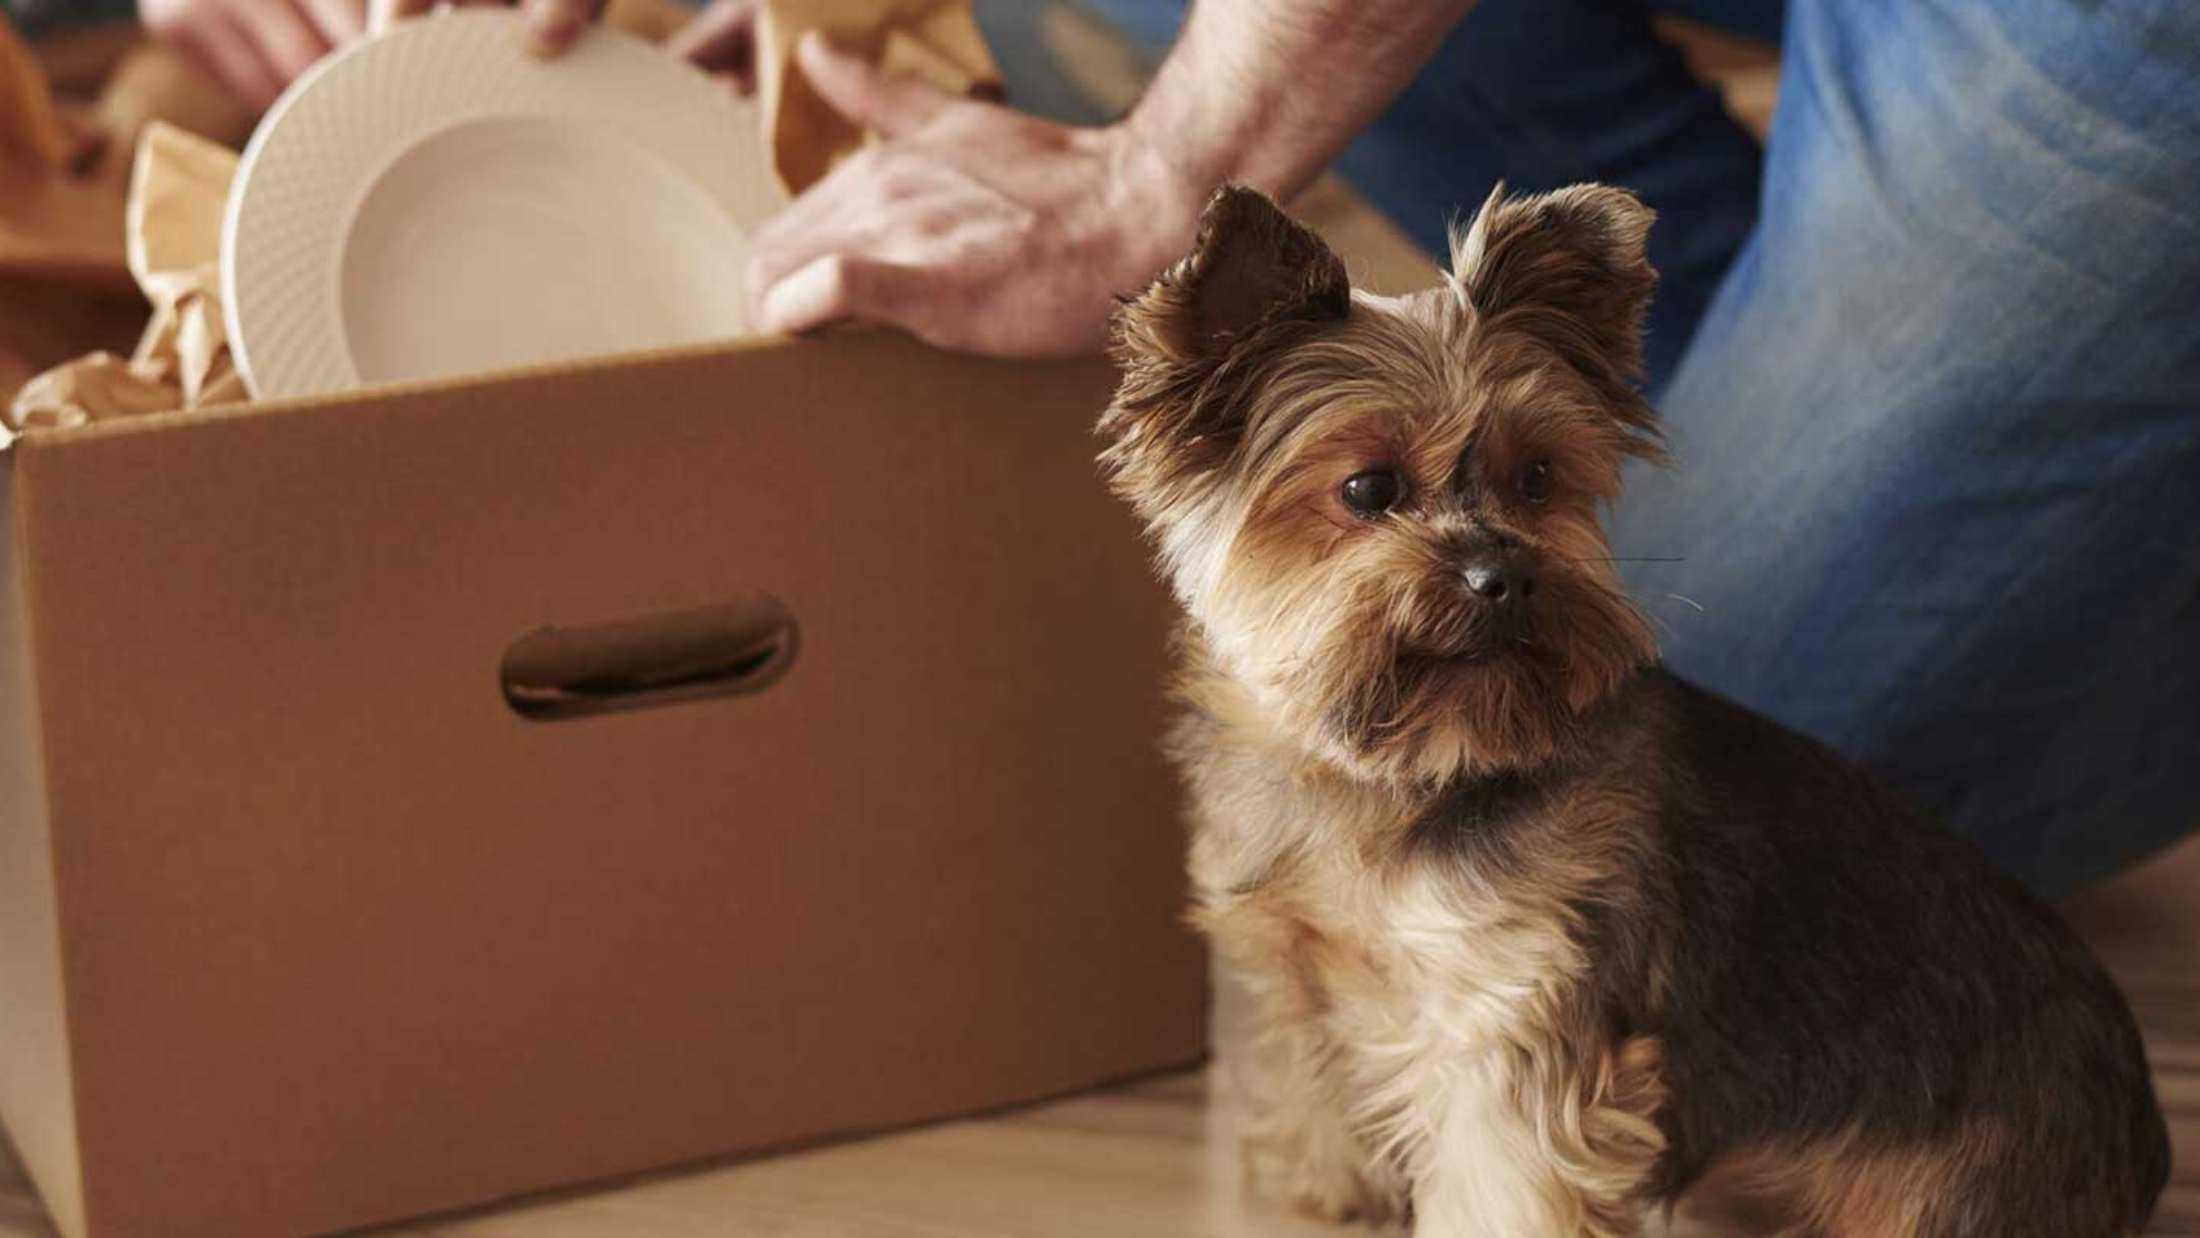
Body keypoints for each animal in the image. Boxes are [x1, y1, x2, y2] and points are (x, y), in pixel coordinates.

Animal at [1100, 186, 2164, 1238]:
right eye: (1368, 488)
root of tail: (2142, 1129)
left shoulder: (1515, 1016)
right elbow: (1318, 1072)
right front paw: (1329, 1187)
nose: (1505, 576)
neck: (1401, 771)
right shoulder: (1304, 964)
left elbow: (1504, 1182)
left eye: (1538, 479)